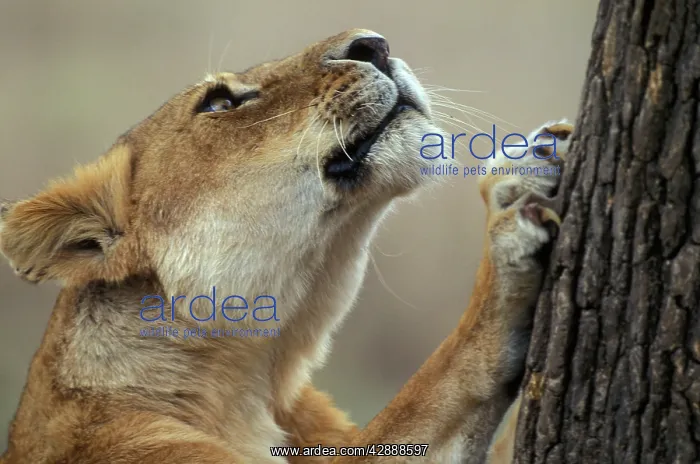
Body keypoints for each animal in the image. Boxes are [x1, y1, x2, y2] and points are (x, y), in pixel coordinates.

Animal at [0, 29, 572, 463]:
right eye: (220, 101)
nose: (375, 44)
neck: (258, 377)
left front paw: (525, 167)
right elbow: (436, 385)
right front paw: (507, 238)